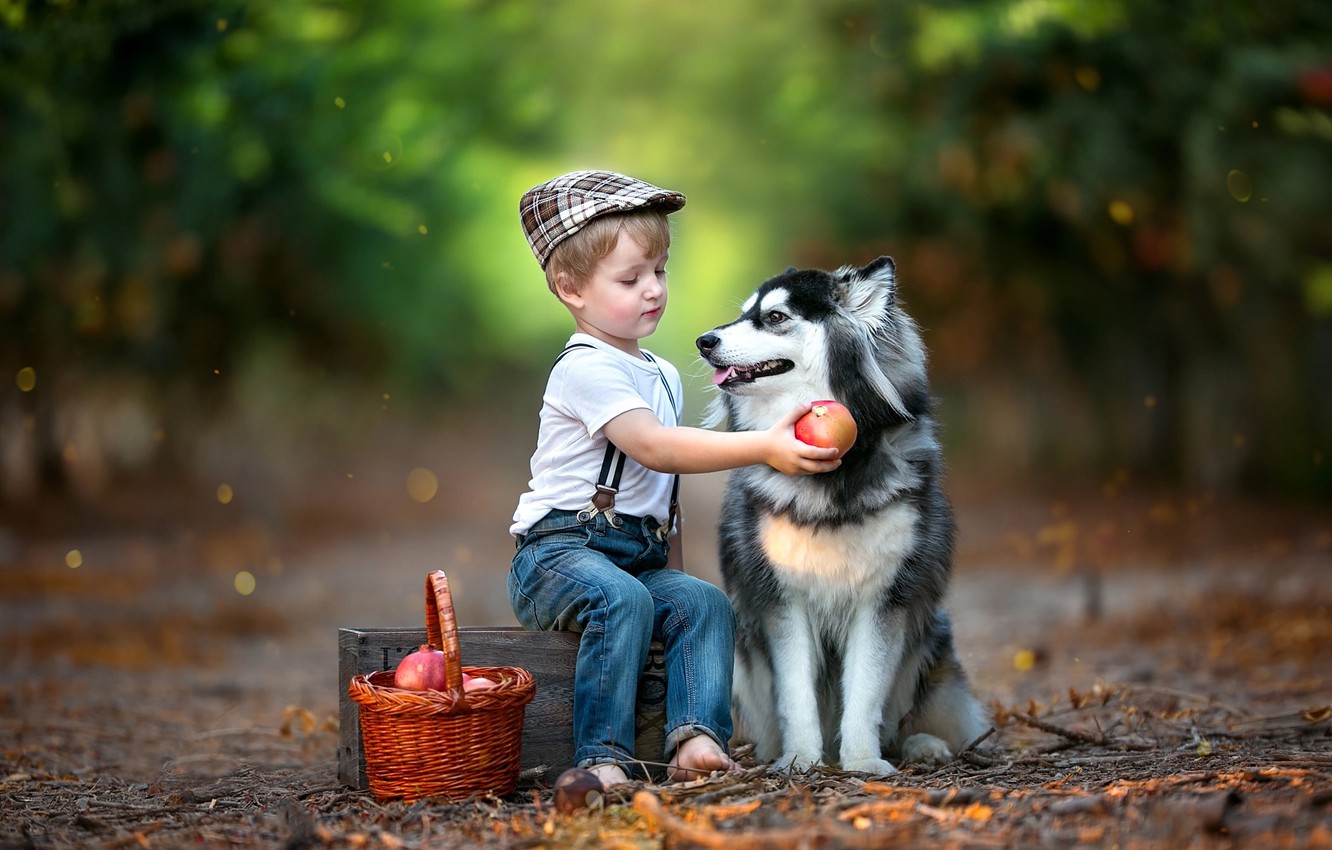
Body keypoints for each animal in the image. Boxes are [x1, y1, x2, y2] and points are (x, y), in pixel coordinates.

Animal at [697, 255, 991, 778]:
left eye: (775, 317)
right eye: (744, 312)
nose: (704, 341)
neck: (837, 472)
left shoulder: (884, 598)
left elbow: (866, 692)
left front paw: (862, 762)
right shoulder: (782, 599)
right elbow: (795, 694)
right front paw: (800, 760)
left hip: (933, 641)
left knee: (917, 719)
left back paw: (924, 747)